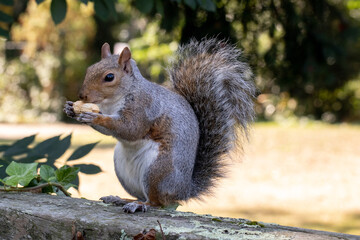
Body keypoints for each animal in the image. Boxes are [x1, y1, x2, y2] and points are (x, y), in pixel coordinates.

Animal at [64, 38, 256, 213]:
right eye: (90, 69)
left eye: (109, 77)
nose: (82, 95)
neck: (115, 100)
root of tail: (184, 190)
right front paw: (70, 109)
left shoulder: (144, 107)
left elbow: (130, 129)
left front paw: (93, 117)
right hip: (125, 172)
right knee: (143, 196)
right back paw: (121, 199)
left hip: (157, 171)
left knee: (157, 203)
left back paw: (138, 205)